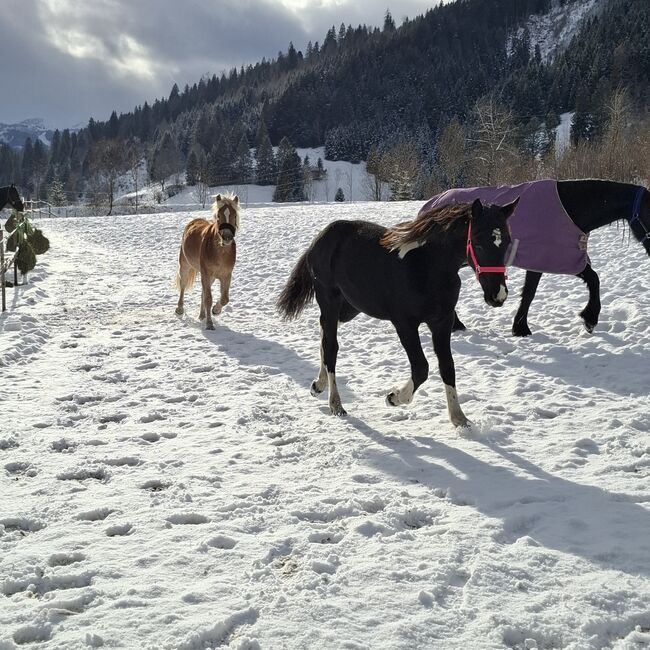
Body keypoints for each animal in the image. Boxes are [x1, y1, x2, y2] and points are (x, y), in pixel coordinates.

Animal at [173, 190, 239, 326]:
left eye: (235, 216)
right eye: (218, 216)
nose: (227, 237)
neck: (220, 251)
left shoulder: (226, 275)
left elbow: (224, 299)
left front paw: (215, 310)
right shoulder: (206, 274)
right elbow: (208, 298)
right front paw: (209, 323)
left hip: (210, 277)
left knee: (203, 293)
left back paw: (202, 315)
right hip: (185, 265)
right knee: (183, 285)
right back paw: (180, 309)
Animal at [274, 200, 516, 428]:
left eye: (506, 242)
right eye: (477, 241)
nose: (498, 295)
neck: (426, 266)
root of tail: (320, 239)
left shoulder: (442, 321)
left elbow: (447, 367)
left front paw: (459, 418)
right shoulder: (405, 324)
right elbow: (421, 367)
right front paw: (394, 397)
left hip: (350, 308)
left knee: (324, 335)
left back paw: (318, 385)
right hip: (329, 300)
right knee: (331, 346)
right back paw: (336, 404)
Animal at [420, 177, 648, 334]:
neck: (571, 208)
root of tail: (432, 202)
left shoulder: (549, 260)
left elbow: (533, 292)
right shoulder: (554, 258)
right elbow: (590, 279)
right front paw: (590, 319)